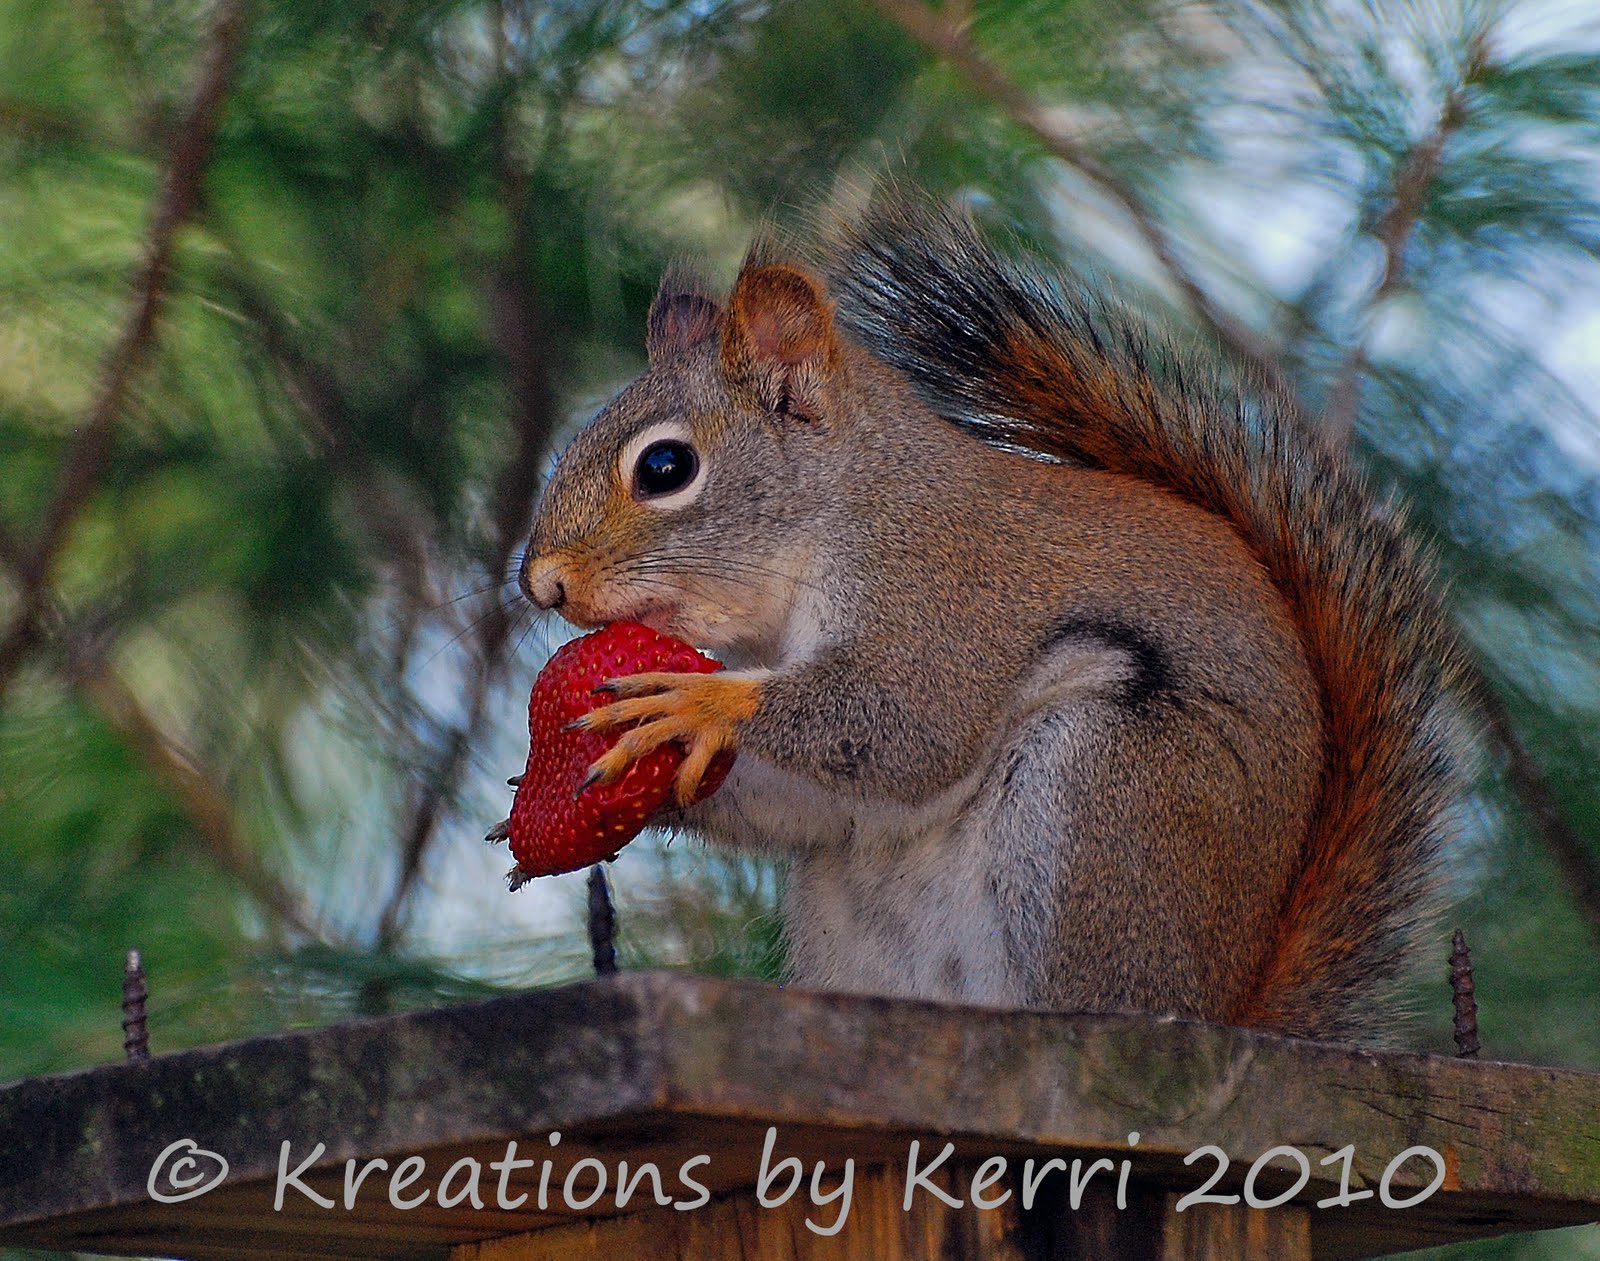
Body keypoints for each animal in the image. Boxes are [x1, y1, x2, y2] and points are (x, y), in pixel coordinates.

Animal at [519, 193, 1469, 1043]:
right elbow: (817, 802)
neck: (841, 511)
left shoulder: (944, 594)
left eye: (666, 467)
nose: (542, 586)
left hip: (1111, 790)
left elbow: (908, 724)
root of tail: (1226, 1008)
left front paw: (692, 704)